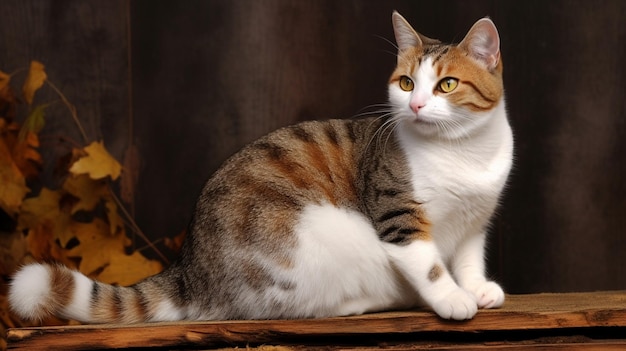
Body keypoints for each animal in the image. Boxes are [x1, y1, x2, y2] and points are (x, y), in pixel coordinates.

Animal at [7, 11, 510, 324]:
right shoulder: (398, 216)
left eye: (447, 85)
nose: (416, 104)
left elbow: (468, 257)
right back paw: (379, 299)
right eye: (406, 82)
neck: (464, 152)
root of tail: (189, 269)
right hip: (323, 242)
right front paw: (453, 298)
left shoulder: (476, 221)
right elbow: (429, 265)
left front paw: (477, 287)